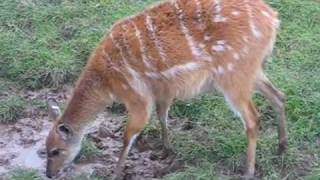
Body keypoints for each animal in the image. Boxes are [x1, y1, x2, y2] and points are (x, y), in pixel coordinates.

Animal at [45, 0, 288, 177]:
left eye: (55, 150)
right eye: (44, 150)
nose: (49, 174)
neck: (105, 80)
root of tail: (273, 18)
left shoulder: (137, 96)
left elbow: (128, 135)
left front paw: (115, 173)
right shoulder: (162, 90)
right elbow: (163, 115)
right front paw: (165, 151)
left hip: (233, 76)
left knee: (253, 118)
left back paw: (248, 171)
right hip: (251, 70)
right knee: (279, 96)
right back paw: (281, 148)